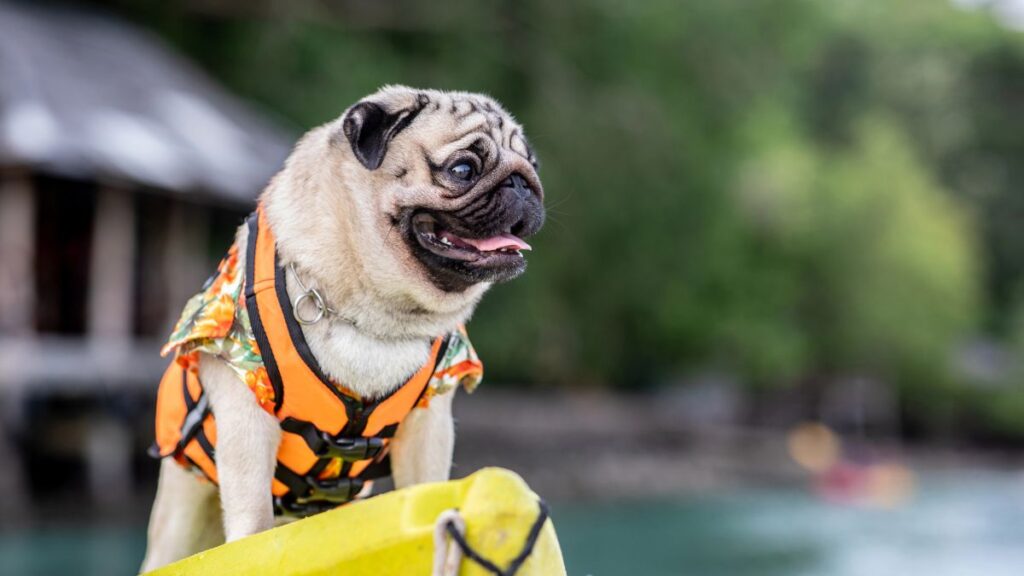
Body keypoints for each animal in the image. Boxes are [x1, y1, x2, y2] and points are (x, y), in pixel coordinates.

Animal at [145, 87, 548, 565]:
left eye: (532, 165)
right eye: (463, 170)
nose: (523, 183)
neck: (378, 310)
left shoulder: (429, 421)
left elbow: (425, 486)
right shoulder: (245, 408)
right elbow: (252, 513)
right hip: (180, 519)